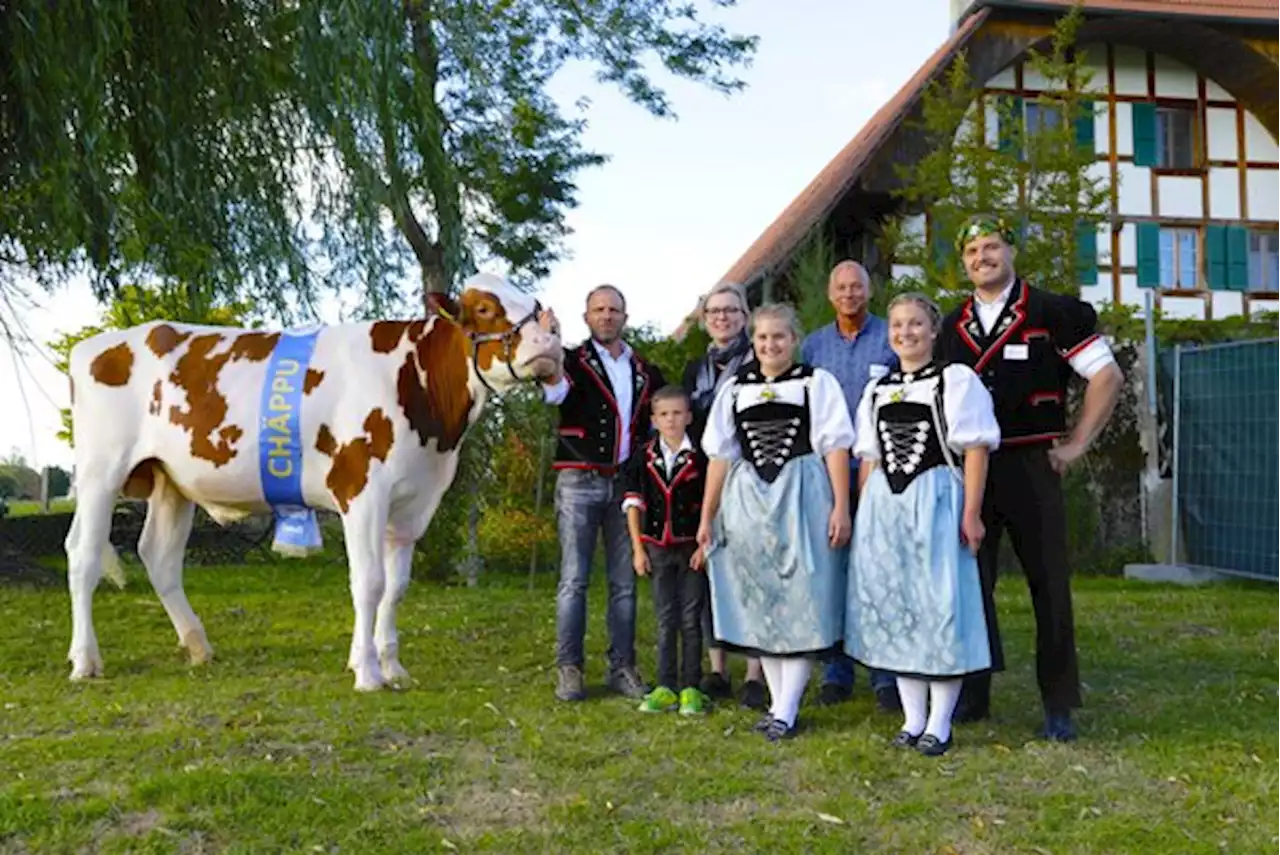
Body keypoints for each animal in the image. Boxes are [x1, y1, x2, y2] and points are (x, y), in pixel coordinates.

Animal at [61, 275, 560, 696]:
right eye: (485, 307)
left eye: (534, 302)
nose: (551, 340)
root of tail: (95, 346)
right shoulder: (362, 492)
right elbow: (370, 582)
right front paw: (368, 673)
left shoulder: (413, 503)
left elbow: (396, 587)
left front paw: (393, 666)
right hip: (101, 470)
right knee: (84, 555)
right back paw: (85, 660)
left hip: (171, 482)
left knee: (158, 557)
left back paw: (199, 646)